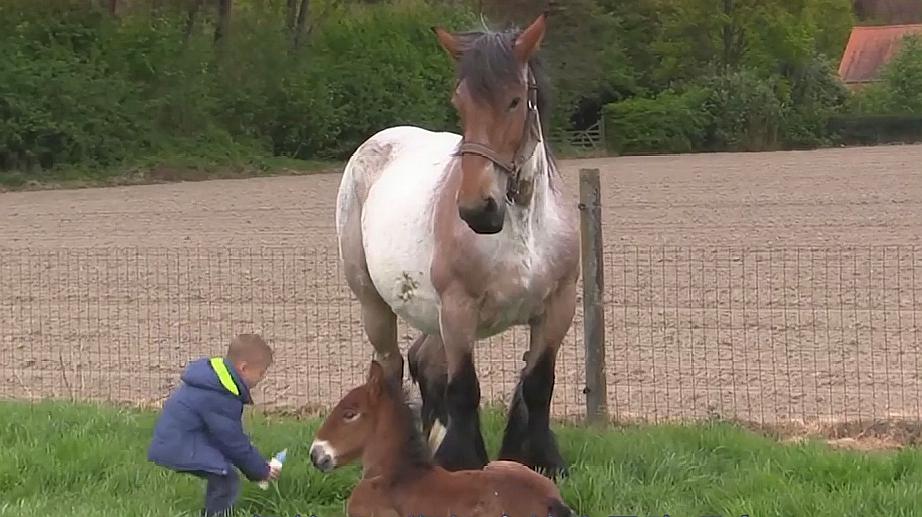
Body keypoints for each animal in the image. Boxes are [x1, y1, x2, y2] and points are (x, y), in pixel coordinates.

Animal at [332, 10, 576, 478]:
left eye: (515, 100)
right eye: (459, 103)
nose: (478, 209)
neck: (522, 230)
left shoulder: (558, 307)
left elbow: (538, 385)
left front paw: (542, 460)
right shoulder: (459, 308)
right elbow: (464, 388)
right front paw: (462, 463)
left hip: (432, 316)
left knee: (425, 361)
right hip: (375, 304)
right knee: (392, 367)